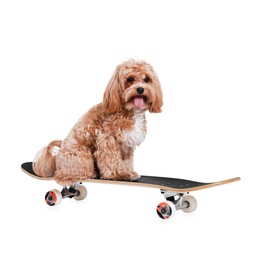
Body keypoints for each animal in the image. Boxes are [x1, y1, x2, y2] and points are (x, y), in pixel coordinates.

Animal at [32, 59, 162, 186]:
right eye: (130, 79)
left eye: (147, 79)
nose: (140, 89)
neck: (129, 110)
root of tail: (56, 159)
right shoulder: (108, 138)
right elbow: (111, 158)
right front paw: (118, 174)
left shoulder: (127, 144)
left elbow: (126, 161)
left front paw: (128, 172)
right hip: (82, 156)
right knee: (65, 176)